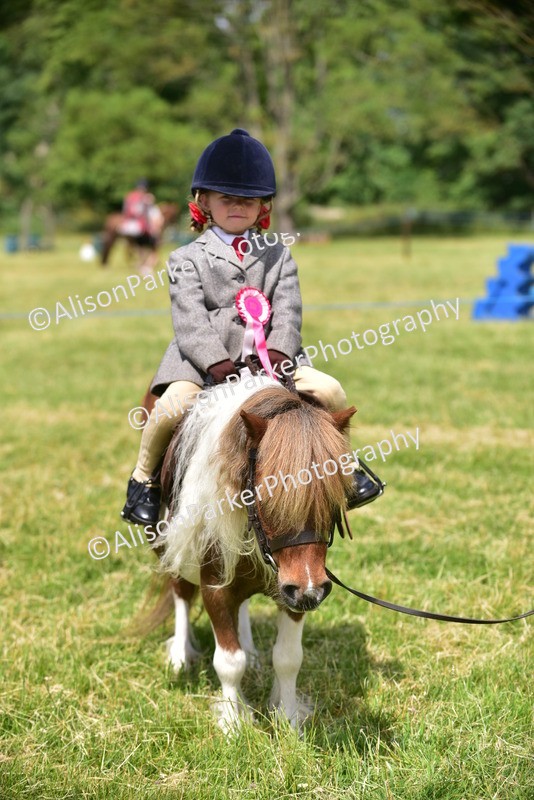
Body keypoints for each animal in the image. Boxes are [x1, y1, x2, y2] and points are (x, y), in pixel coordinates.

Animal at [140, 373, 356, 733]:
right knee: (180, 593)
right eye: (267, 494)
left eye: (332, 497)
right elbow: (228, 661)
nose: (311, 591)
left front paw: (288, 718)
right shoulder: (214, 586)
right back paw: (181, 656)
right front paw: (233, 723)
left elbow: (288, 658)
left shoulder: (292, 590)